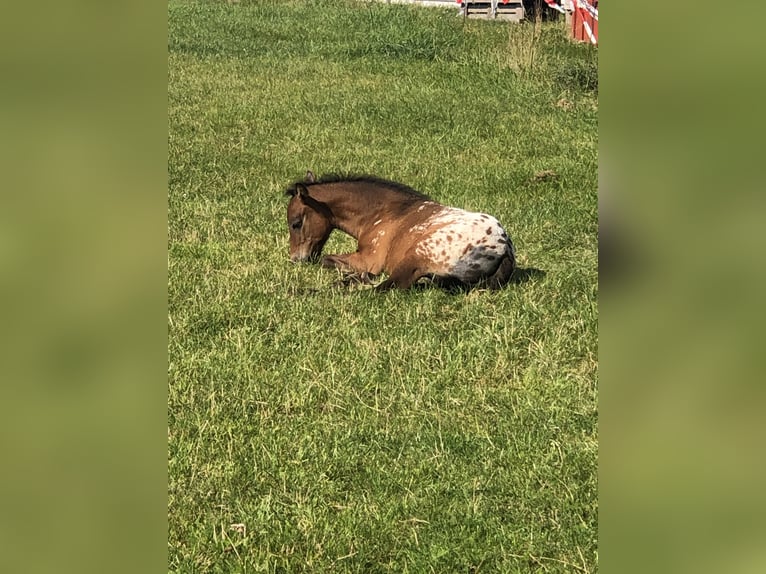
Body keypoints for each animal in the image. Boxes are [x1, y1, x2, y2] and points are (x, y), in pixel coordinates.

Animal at [284, 171, 520, 292]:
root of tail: (504, 247)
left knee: (384, 288)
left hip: (416, 257)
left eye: (296, 223)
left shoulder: (369, 259)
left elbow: (326, 259)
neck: (383, 212)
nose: (296, 259)